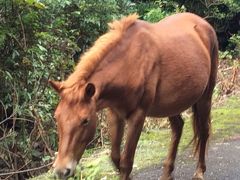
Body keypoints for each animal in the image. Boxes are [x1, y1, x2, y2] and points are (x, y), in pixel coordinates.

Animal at [50, 13, 218, 180]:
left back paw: (199, 171)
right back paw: (167, 173)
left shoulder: (138, 116)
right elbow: (115, 157)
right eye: (56, 118)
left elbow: (126, 162)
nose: (61, 170)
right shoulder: (115, 113)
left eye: (85, 121)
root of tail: (203, 24)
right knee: (178, 128)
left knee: (204, 130)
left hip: (205, 97)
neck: (130, 63)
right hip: (171, 104)